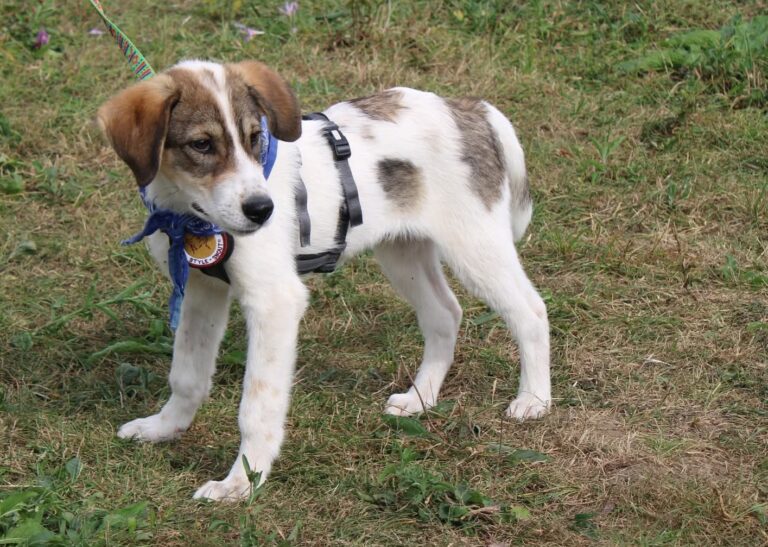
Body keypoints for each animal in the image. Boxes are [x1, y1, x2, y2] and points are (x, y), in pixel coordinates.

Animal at [97, 60, 551, 501]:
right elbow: (187, 374)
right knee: (445, 313)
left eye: (254, 137)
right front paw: (165, 427)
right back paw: (421, 398)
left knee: (530, 311)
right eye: (202, 144)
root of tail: (469, 109)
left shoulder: (275, 302)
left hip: (475, 245)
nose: (262, 210)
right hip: (403, 251)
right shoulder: (200, 290)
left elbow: (256, 406)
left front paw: (244, 482)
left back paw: (533, 400)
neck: (189, 215)